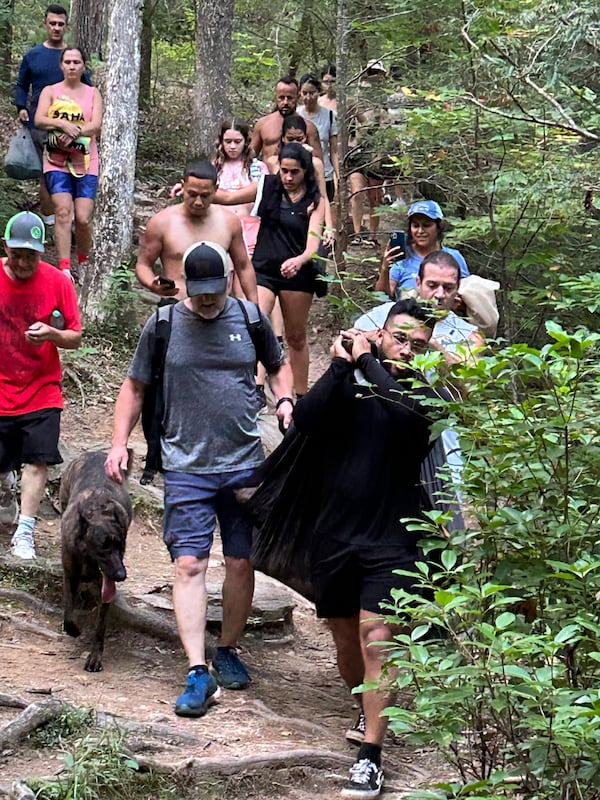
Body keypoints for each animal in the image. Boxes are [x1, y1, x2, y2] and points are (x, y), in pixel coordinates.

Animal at [60, 450, 132, 668]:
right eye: (103, 548)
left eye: (120, 545)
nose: (121, 575)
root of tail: (96, 452)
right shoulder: (70, 574)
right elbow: (68, 610)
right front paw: (73, 629)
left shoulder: (105, 586)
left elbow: (101, 624)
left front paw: (95, 656)